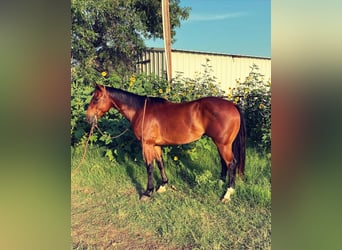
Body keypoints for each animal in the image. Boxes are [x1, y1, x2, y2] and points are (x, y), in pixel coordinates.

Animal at [85, 83, 246, 202]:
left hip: (223, 145)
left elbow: (149, 167)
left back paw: (227, 194)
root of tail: (233, 105)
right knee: (224, 163)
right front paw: (162, 186)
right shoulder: (156, 145)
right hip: (221, 144)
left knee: (231, 163)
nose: (88, 118)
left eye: (96, 99)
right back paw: (220, 183)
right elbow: (160, 163)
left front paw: (147, 192)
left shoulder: (147, 145)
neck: (140, 111)